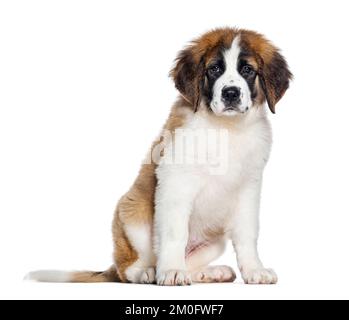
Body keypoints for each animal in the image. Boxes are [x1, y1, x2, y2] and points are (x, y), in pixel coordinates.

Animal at [27, 28, 290, 284]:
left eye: (247, 70)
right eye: (214, 69)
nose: (231, 93)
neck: (226, 129)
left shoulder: (248, 188)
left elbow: (247, 234)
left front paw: (254, 270)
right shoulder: (176, 181)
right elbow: (175, 232)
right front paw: (171, 271)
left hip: (214, 242)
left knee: (189, 262)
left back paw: (208, 272)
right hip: (132, 216)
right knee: (127, 268)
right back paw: (148, 272)